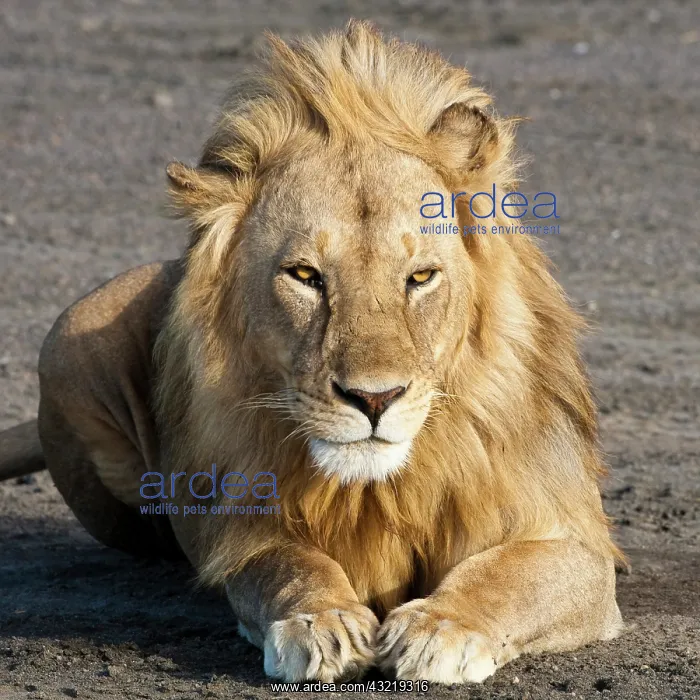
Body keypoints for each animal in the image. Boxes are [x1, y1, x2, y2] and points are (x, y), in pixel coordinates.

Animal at [0, 20, 624, 684]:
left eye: (420, 278)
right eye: (305, 275)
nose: (374, 399)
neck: (381, 490)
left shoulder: (579, 546)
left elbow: (503, 577)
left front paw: (441, 628)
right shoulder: (243, 528)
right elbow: (290, 565)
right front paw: (320, 623)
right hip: (71, 336)